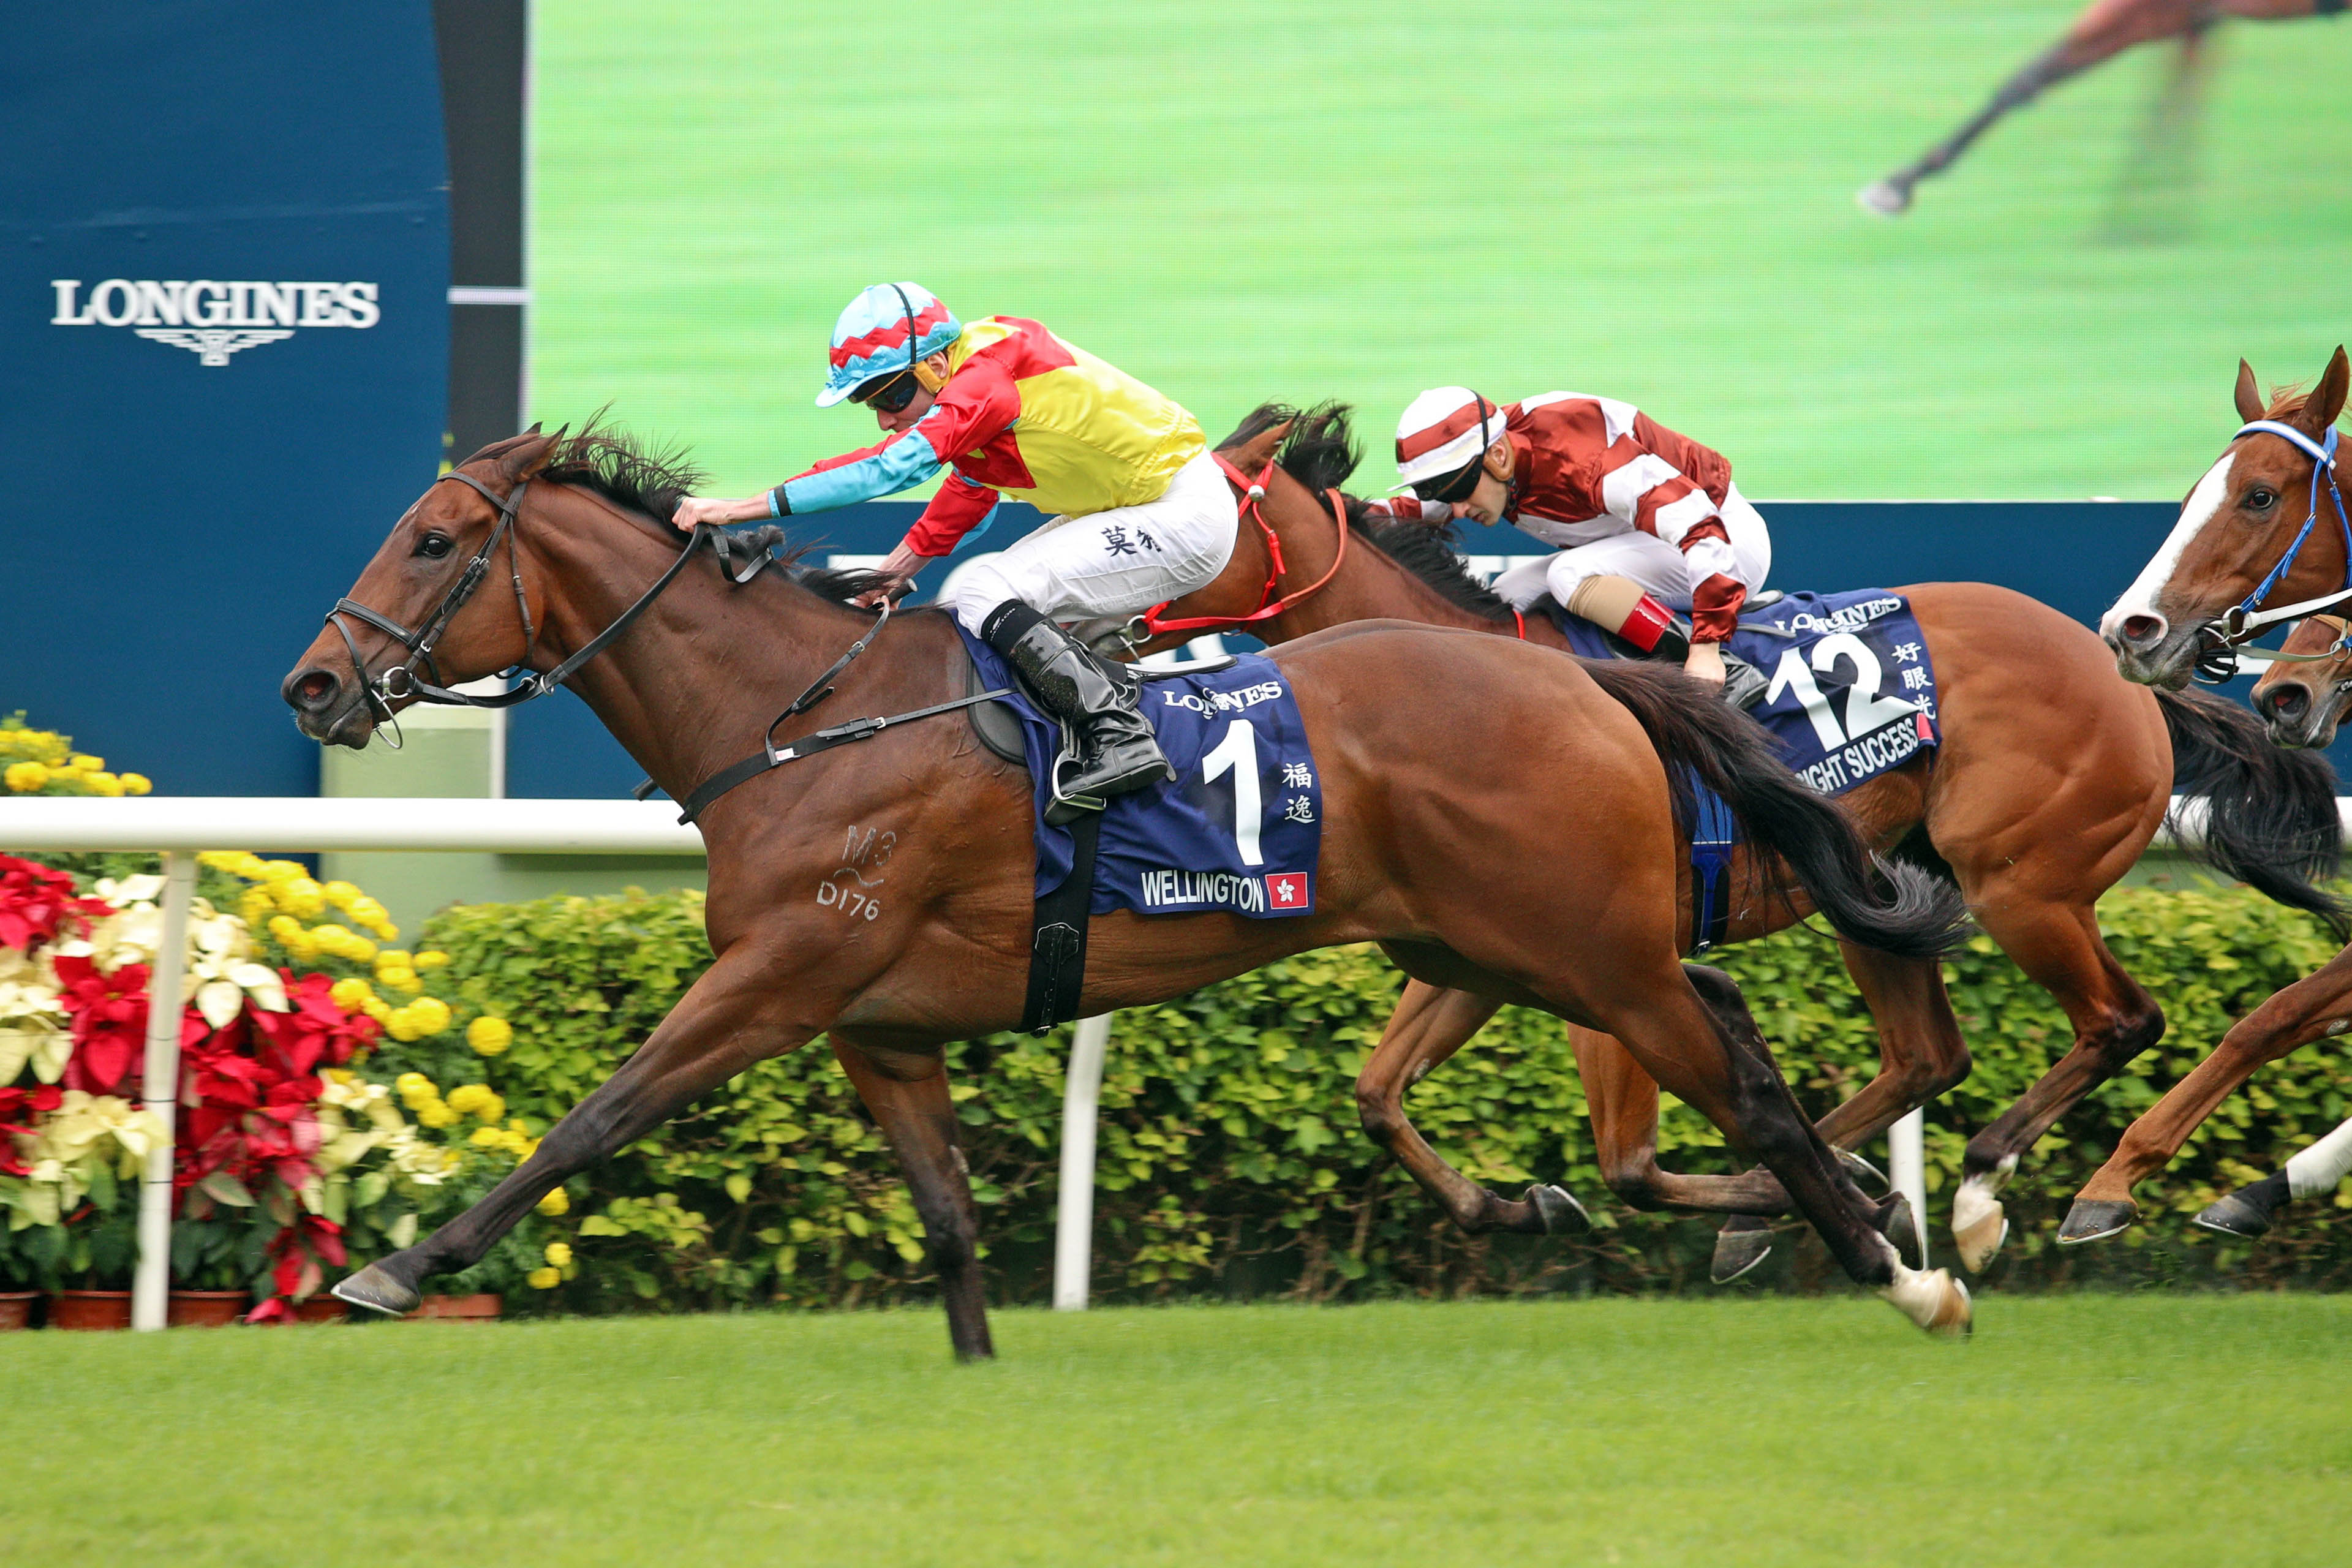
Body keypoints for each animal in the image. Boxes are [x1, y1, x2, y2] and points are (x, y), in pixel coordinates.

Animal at [289, 430, 1985, 1354]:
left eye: (433, 540)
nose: (313, 683)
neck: (797, 716)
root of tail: (1584, 680)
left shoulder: (775, 978)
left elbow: (593, 1116)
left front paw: (393, 1265)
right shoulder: (874, 1024)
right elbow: (950, 1216)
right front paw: (978, 1374)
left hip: (1584, 951)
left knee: (1749, 1086)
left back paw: (1905, 1275)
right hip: (1501, 940)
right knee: (1730, 1033)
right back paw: (1784, 1208)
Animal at [1110, 399, 2342, 1278]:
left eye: (1193, 513)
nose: (1105, 616)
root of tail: (2124, 666)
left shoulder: (1606, 959)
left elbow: (1629, 1163)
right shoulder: (1491, 941)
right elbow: (1377, 1094)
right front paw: (1523, 1202)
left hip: (2021, 883)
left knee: (2120, 1020)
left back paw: (2005, 1195)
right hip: (1889, 890)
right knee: (1928, 1055)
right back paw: (1828, 1192)